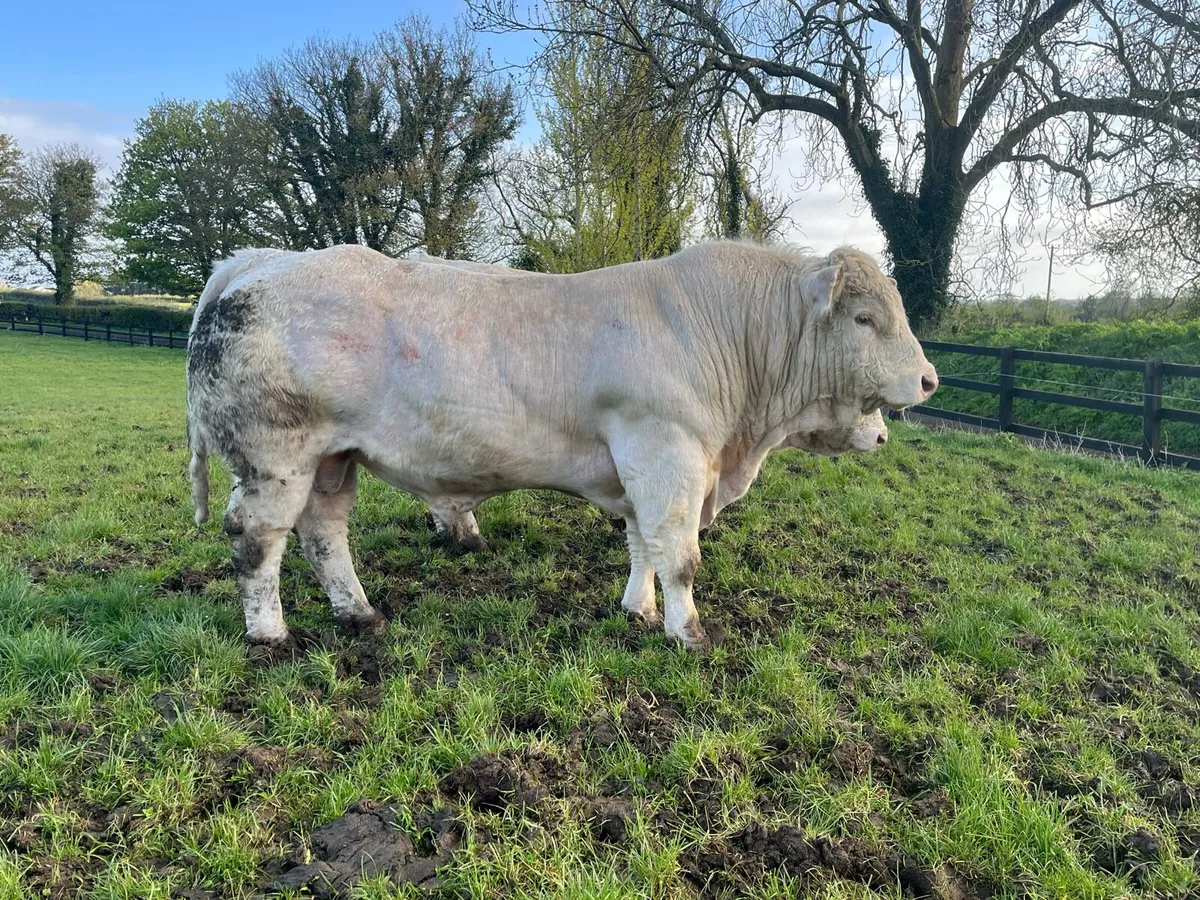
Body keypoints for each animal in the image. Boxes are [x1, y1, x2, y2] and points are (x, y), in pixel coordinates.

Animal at [186, 241, 936, 651]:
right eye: (864, 318)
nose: (928, 379)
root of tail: (258, 261)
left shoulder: (637, 466)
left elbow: (642, 546)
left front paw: (638, 611)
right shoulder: (667, 454)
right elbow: (680, 554)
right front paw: (688, 633)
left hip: (331, 461)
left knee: (325, 534)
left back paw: (359, 612)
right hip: (275, 457)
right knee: (257, 538)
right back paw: (270, 634)